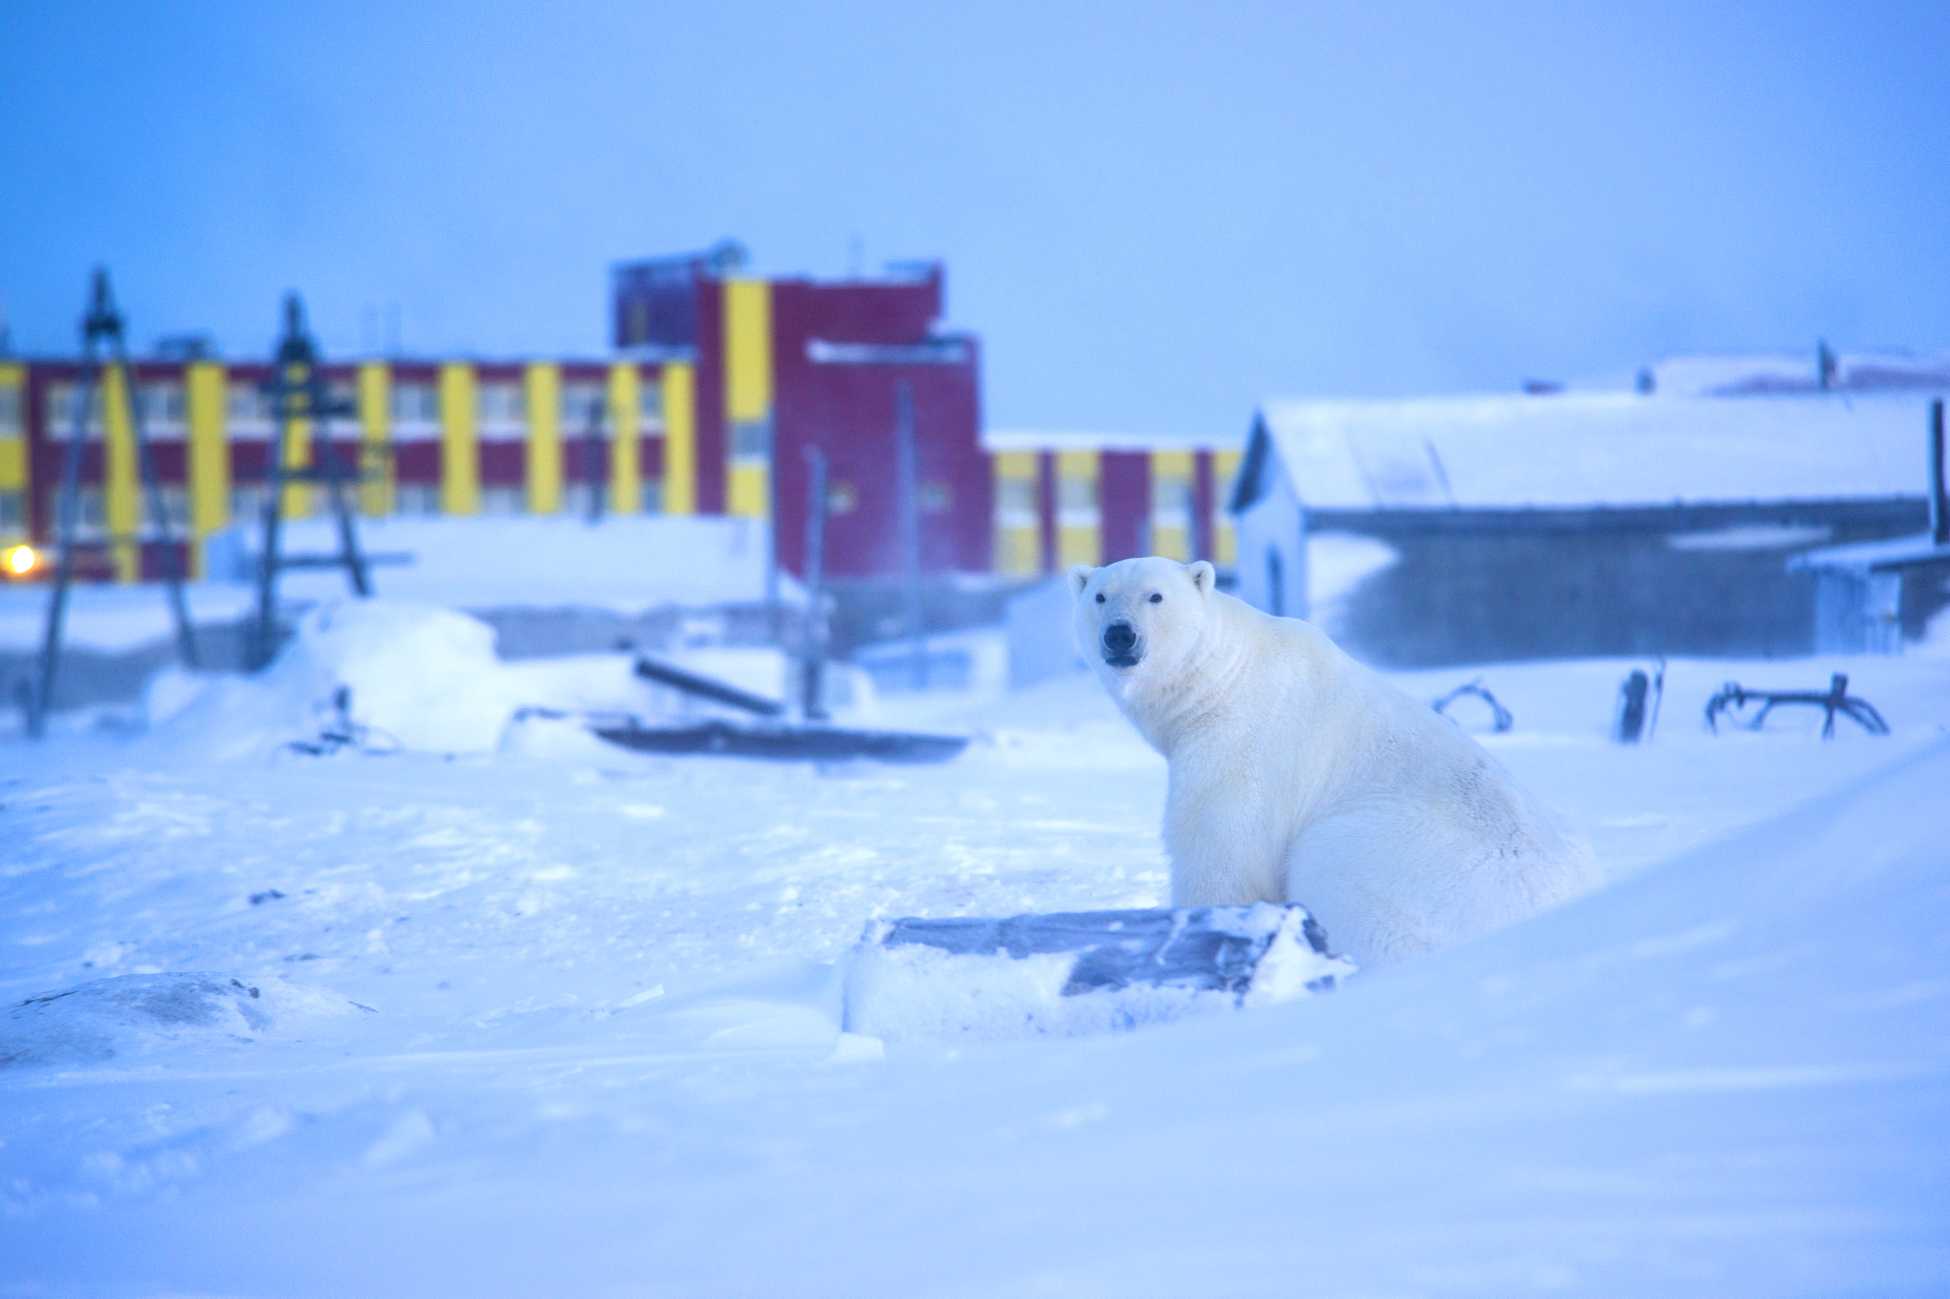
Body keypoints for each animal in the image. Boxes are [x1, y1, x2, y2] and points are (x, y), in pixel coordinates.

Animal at [1068, 550, 1599, 967]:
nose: (1120, 635)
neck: (1224, 676)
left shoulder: (1244, 748)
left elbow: (1221, 851)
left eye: (1155, 596)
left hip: (1399, 856)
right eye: (1100, 596)